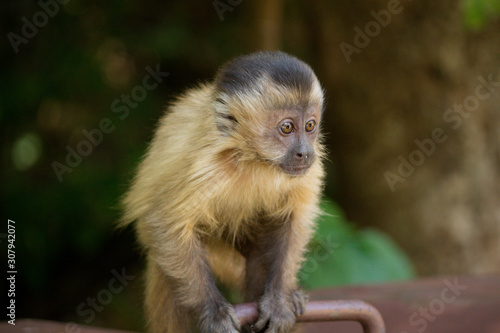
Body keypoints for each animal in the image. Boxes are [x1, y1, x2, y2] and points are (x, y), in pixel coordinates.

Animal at [120, 51, 324, 332]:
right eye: (287, 128)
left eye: (310, 126)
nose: (304, 152)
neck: (253, 158)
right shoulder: (206, 166)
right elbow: (164, 222)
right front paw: (213, 312)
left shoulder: (308, 168)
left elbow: (295, 219)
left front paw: (278, 299)